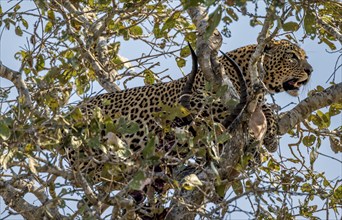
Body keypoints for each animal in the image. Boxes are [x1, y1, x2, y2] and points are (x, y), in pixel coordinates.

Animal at [66, 39, 312, 184]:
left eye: (304, 57)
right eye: (292, 56)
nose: (310, 70)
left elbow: (264, 112)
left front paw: (269, 138)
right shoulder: (203, 103)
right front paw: (259, 139)